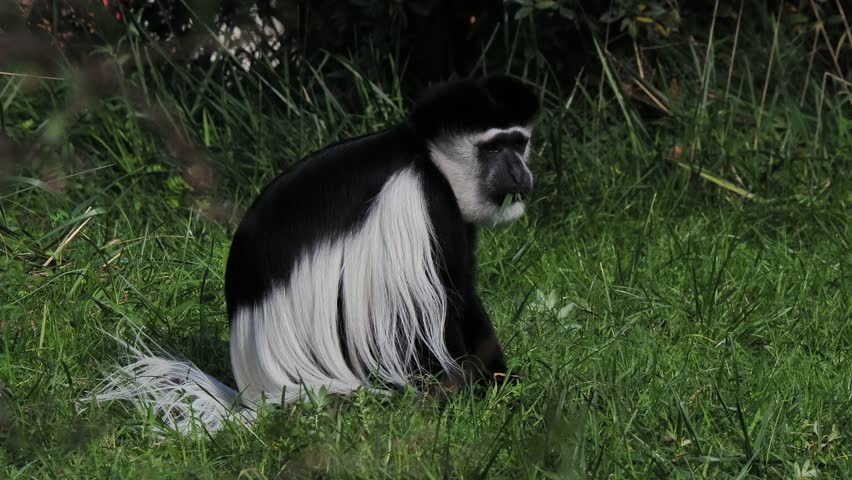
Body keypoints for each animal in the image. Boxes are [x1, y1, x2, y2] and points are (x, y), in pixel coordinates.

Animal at [92, 75, 539, 434]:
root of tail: (260, 393)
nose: (521, 175)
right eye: (494, 149)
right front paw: (486, 395)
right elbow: (439, 306)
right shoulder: (424, 204)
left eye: (519, 143)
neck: (425, 157)